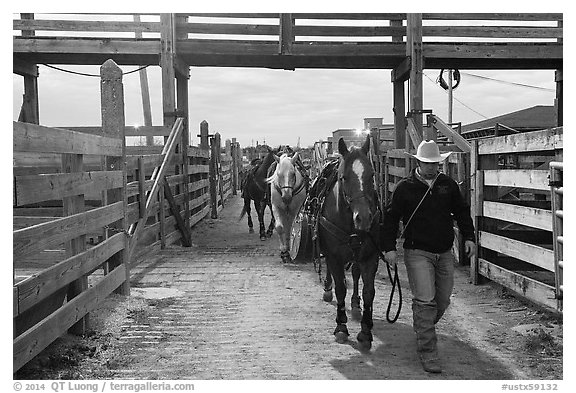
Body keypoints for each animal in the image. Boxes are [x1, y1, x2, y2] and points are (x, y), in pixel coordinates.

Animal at [318, 135, 380, 350]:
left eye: (371, 175)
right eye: (344, 177)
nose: (364, 217)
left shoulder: (370, 256)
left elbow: (369, 291)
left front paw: (366, 331)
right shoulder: (334, 256)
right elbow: (341, 288)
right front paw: (341, 327)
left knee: (355, 272)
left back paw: (355, 303)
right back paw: (327, 290)